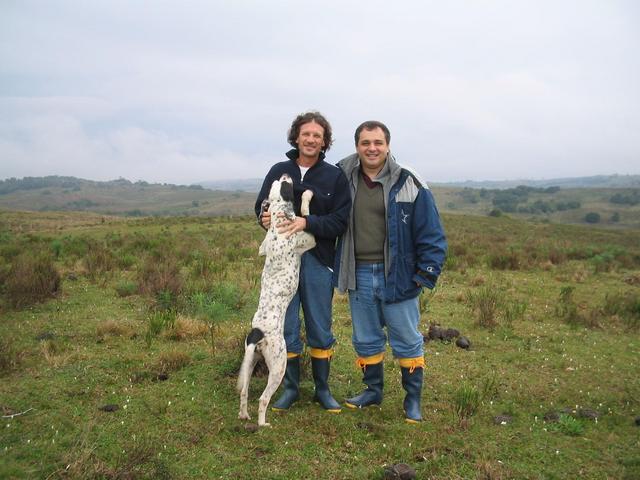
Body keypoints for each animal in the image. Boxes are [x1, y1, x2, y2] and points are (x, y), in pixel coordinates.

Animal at [236, 173, 316, 428]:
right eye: (284, 185)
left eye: (274, 184)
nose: (285, 174)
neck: (279, 219)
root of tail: (257, 333)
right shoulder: (310, 238)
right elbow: (306, 213)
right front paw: (307, 195)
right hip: (279, 364)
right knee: (263, 398)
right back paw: (263, 424)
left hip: (251, 360)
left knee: (244, 392)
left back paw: (244, 415)